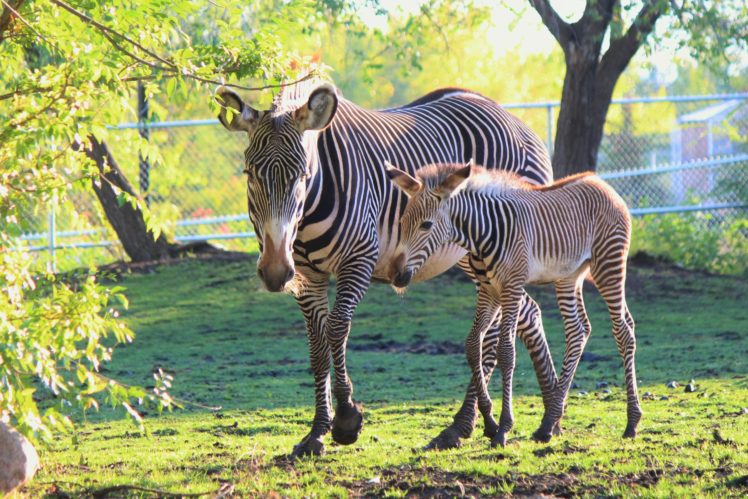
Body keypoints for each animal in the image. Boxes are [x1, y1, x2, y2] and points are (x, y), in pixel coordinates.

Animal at [216, 79, 556, 458]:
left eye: (302, 176)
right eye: (249, 175)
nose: (275, 272)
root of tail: (515, 121)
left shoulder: (359, 259)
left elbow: (337, 329)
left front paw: (346, 419)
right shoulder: (305, 274)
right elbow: (316, 345)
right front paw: (317, 432)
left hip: (491, 250)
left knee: (495, 331)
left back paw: (462, 426)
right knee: (529, 312)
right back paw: (549, 415)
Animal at [386, 163, 644, 450]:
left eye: (426, 225)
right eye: (402, 223)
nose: (395, 276)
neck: (484, 232)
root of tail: (601, 183)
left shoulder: (511, 286)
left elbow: (506, 351)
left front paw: (503, 428)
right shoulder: (489, 290)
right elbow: (472, 344)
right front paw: (489, 422)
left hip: (608, 264)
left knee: (623, 331)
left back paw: (632, 423)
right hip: (569, 275)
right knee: (578, 330)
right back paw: (547, 425)